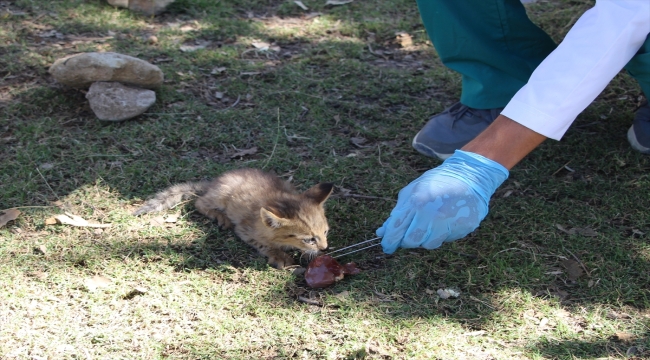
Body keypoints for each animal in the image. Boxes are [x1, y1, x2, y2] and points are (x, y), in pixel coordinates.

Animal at [132, 168, 334, 268]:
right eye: (309, 239)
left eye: (325, 232)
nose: (324, 248)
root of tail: (214, 182)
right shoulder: (245, 230)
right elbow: (263, 244)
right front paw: (279, 255)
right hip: (221, 196)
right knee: (200, 202)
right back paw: (220, 216)